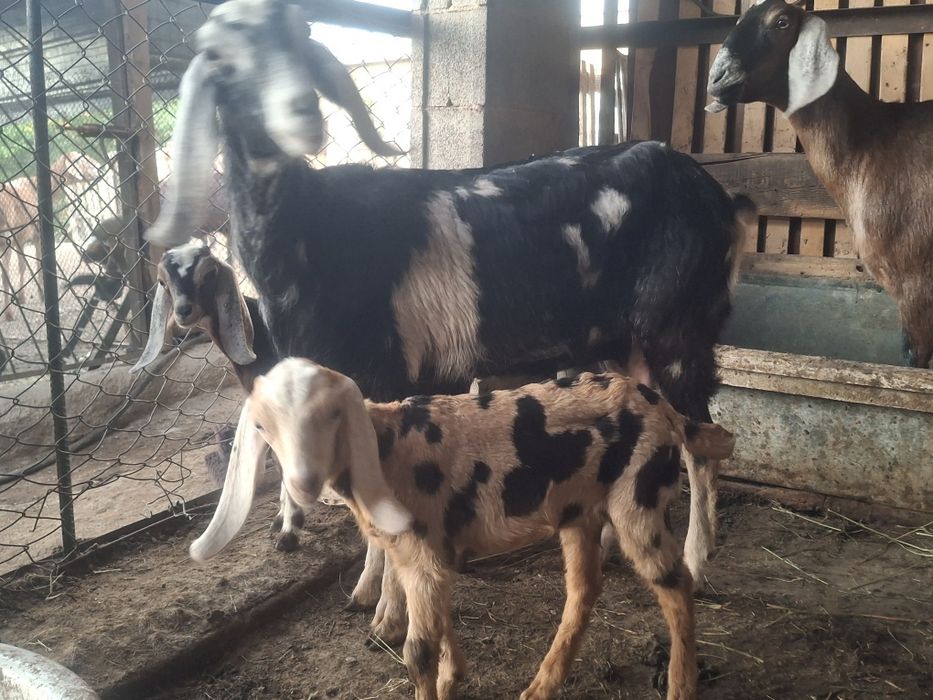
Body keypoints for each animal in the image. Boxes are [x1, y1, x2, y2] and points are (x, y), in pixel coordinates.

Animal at [190, 357, 736, 700]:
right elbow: (437, 622)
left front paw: (437, 677)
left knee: (675, 585)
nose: (302, 483)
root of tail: (665, 409)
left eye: (330, 415)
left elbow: (416, 651)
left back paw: (680, 685)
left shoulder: (424, 552)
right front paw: (455, 675)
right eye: (262, 425)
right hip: (577, 508)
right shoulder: (424, 554)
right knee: (585, 588)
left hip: (638, 497)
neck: (387, 449)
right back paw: (541, 686)